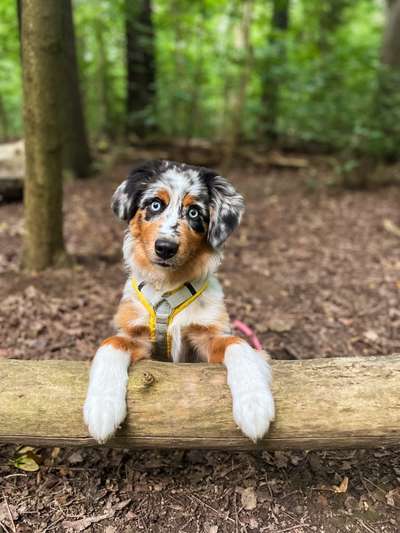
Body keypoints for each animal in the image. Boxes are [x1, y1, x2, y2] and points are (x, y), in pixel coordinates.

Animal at [83, 160, 276, 442]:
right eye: (155, 205)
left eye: (194, 212)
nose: (165, 247)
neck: (167, 286)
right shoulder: (135, 335)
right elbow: (110, 344)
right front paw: (102, 407)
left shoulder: (206, 338)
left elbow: (238, 344)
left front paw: (254, 405)